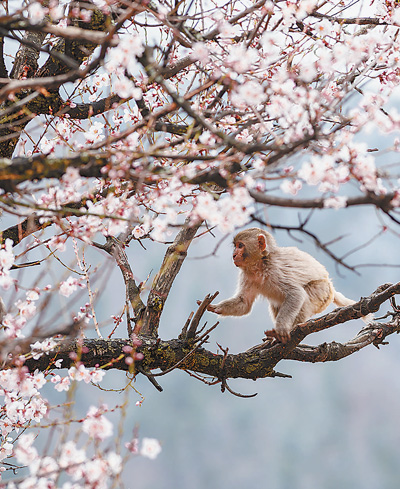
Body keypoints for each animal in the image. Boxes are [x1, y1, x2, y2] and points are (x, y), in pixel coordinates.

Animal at [206, 228, 372, 344]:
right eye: (235, 246)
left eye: (240, 246)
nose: (234, 255)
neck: (260, 265)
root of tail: (330, 286)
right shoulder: (247, 275)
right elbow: (244, 303)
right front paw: (216, 308)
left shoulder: (275, 270)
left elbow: (296, 293)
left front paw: (281, 328)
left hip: (322, 292)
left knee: (305, 298)